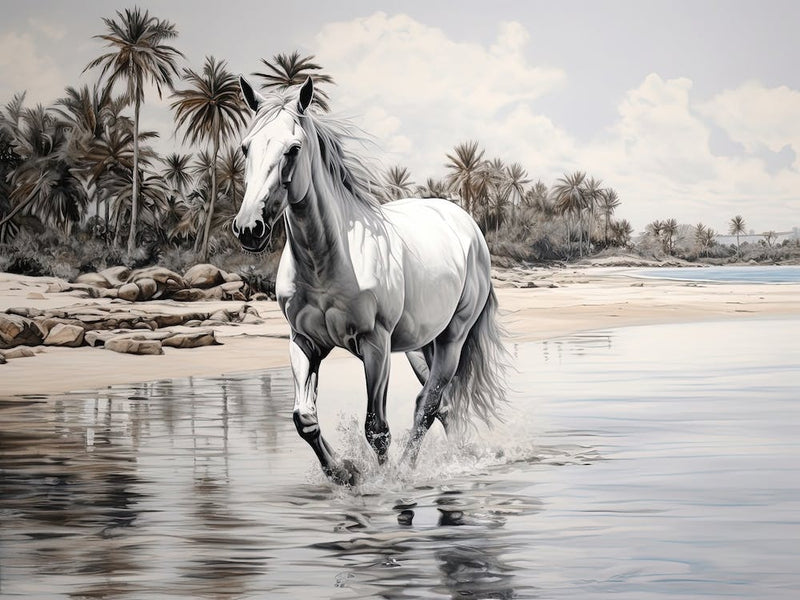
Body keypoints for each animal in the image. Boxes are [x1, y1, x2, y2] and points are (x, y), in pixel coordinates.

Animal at [232, 76, 506, 485]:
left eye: (293, 149)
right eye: (246, 147)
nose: (250, 228)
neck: (328, 261)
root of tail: (464, 221)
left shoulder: (375, 345)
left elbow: (376, 427)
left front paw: (383, 483)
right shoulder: (305, 342)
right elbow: (304, 419)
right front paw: (344, 472)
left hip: (452, 340)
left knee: (428, 405)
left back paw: (411, 470)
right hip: (420, 346)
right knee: (441, 405)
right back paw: (457, 458)